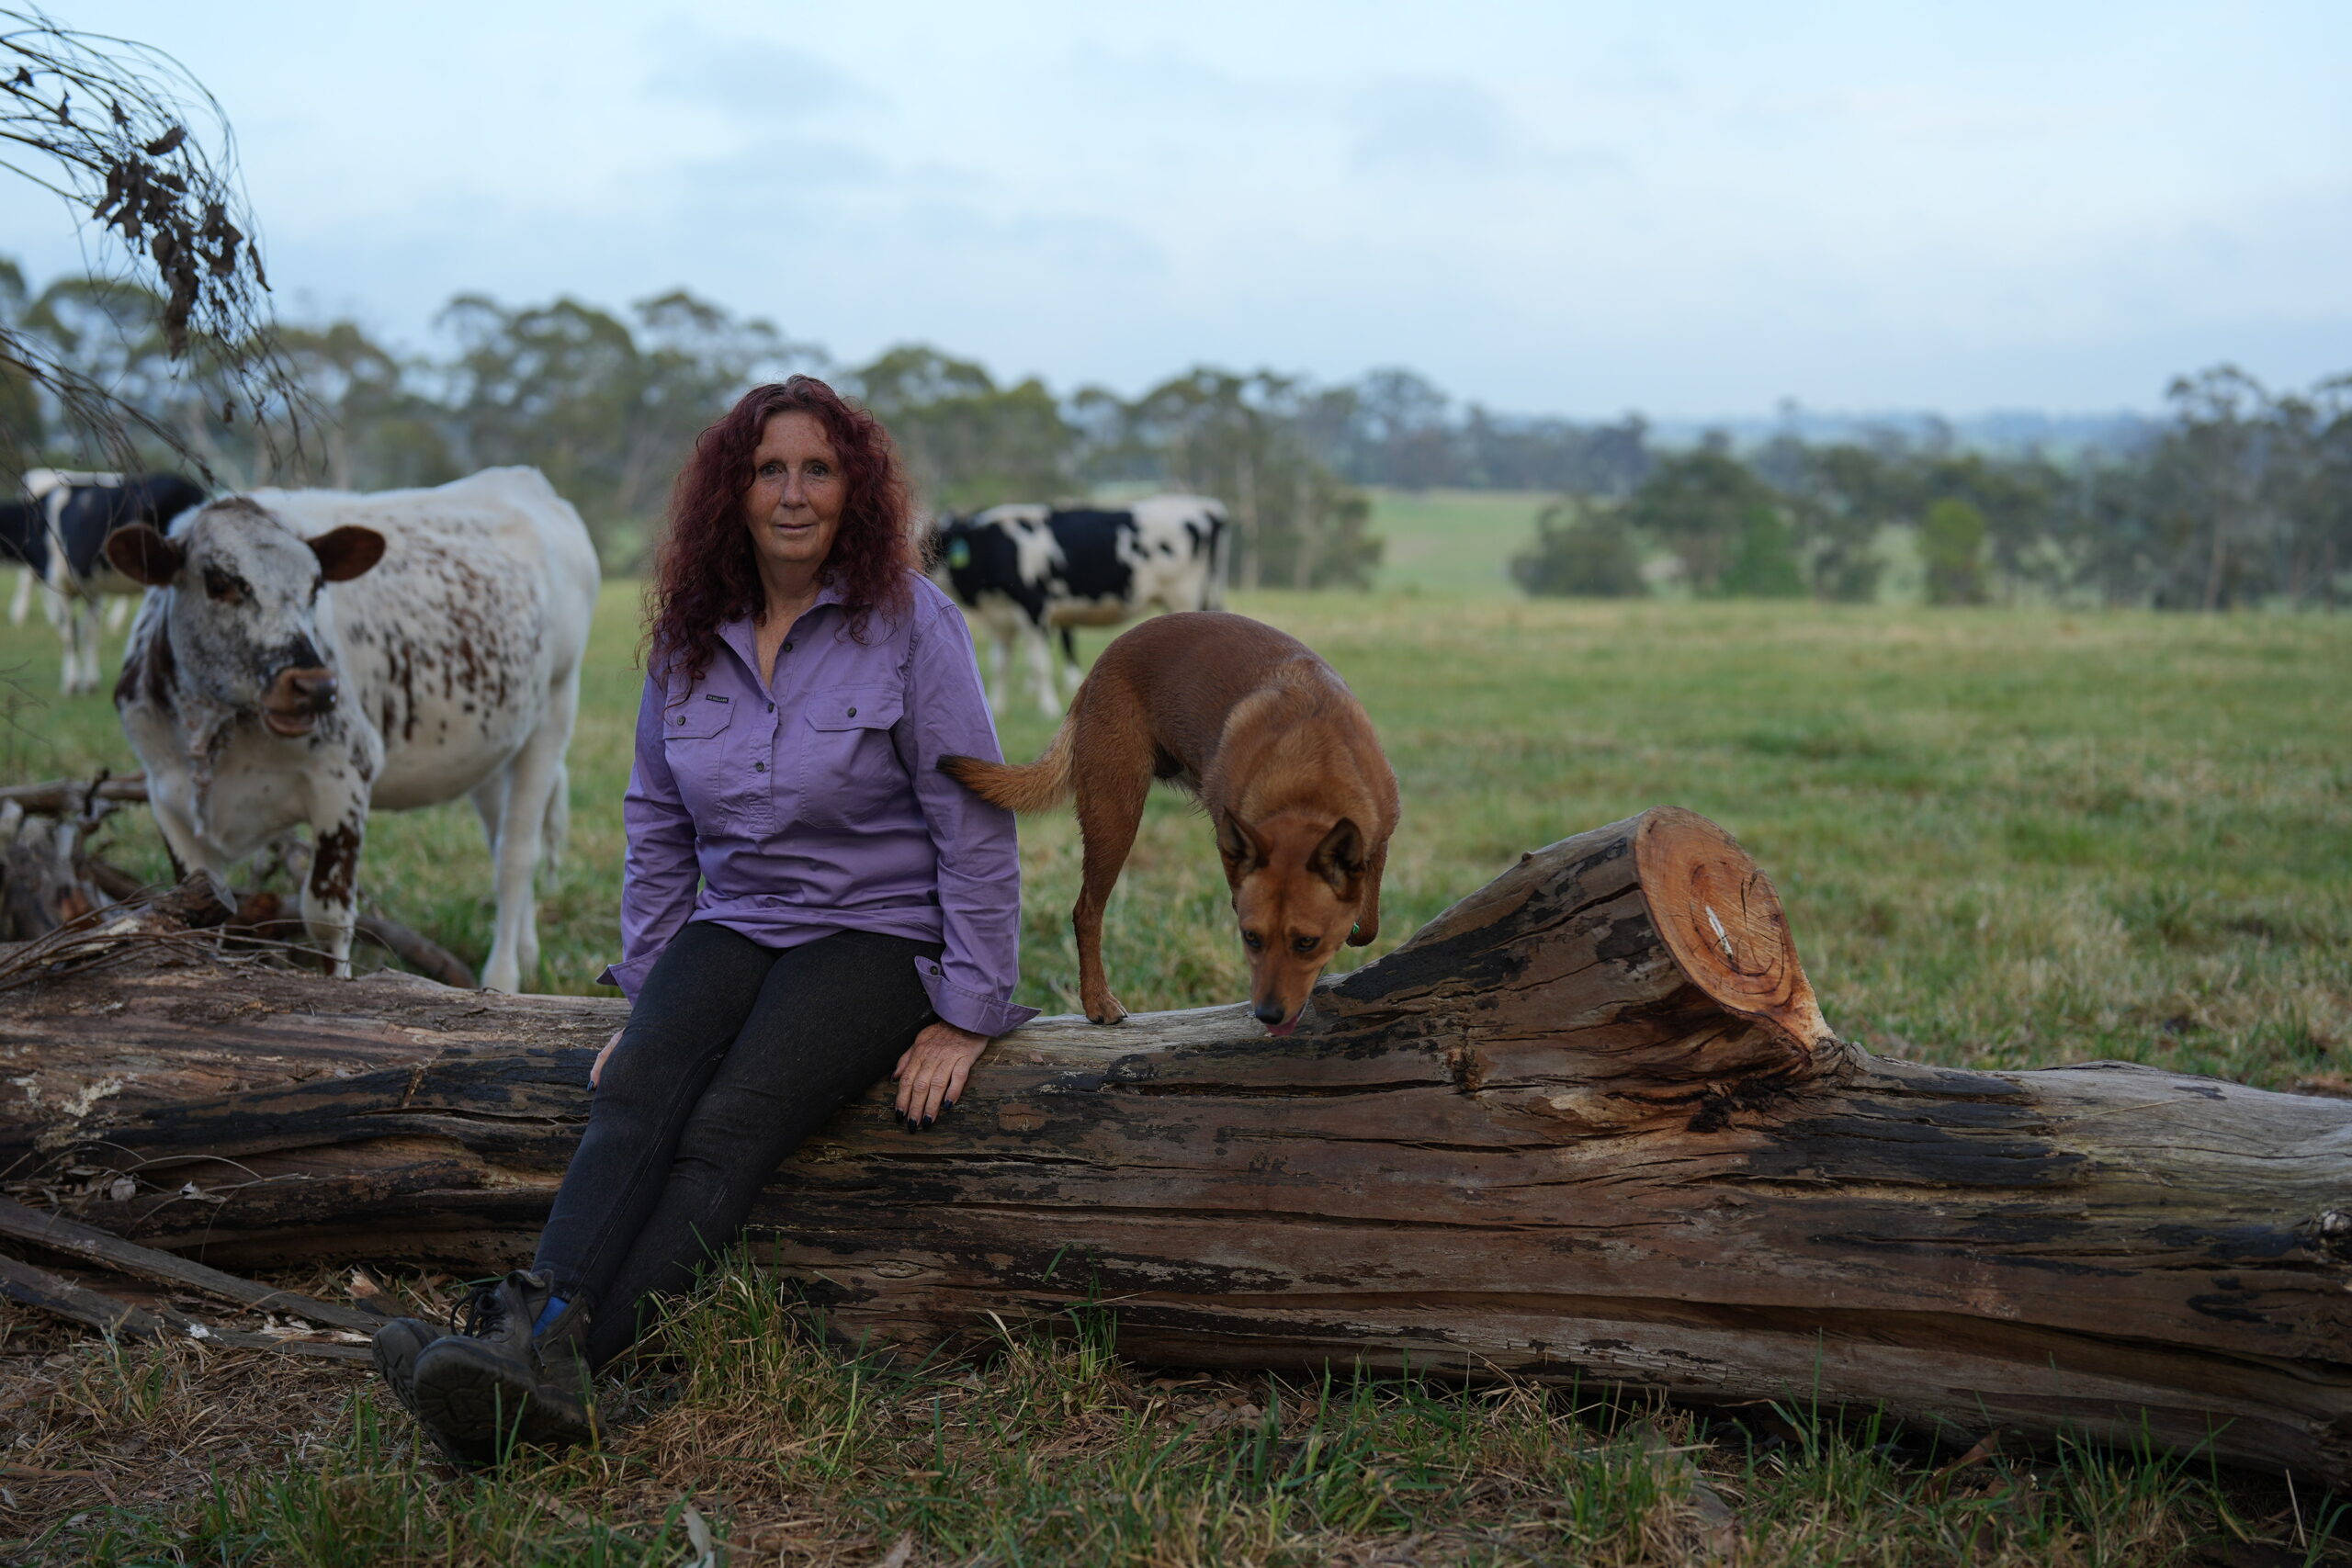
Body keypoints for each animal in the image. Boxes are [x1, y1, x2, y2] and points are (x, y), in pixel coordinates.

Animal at [15, 465, 207, 691]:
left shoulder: (59, 582)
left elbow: (70, 632)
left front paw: (72, 683)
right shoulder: (90, 589)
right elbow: (88, 632)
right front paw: (89, 682)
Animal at [106, 465, 602, 991]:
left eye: (315, 587)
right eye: (219, 583)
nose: (316, 686)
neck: (212, 728)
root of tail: (523, 480)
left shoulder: (343, 778)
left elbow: (328, 919)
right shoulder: (167, 796)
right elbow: (197, 915)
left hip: (553, 712)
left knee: (516, 855)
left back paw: (504, 976)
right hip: (491, 747)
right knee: (500, 838)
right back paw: (527, 953)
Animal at [926, 493, 1232, 715]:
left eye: (933, 541)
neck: (994, 544)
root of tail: (1206, 507)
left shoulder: (1035, 609)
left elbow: (1039, 664)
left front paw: (1048, 707)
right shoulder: (999, 619)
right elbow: (999, 663)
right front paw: (997, 707)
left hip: (1185, 595)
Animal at [941, 611, 1383, 1029]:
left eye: (1307, 943)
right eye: (1251, 939)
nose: (1269, 1014)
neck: (1309, 774)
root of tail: (1096, 670)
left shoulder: (1374, 846)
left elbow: (1368, 925)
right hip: (1115, 813)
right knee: (1086, 911)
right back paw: (1097, 1001)